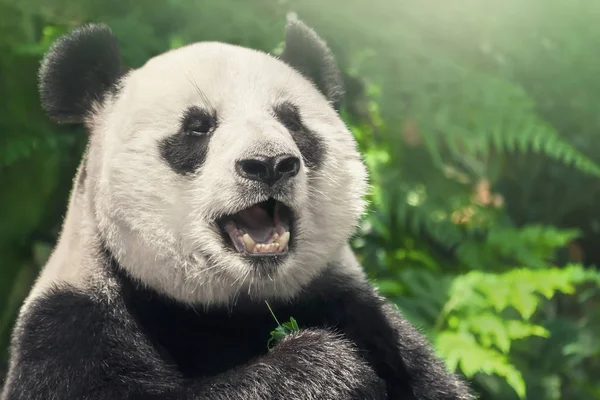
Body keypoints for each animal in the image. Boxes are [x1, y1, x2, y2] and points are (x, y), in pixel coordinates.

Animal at [2, 16, 476, 400]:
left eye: (292, 121)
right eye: (197, 127)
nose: (269, 164)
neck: (231, 307)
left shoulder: (361, 314)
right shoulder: (71, 328)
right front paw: (322, 369)